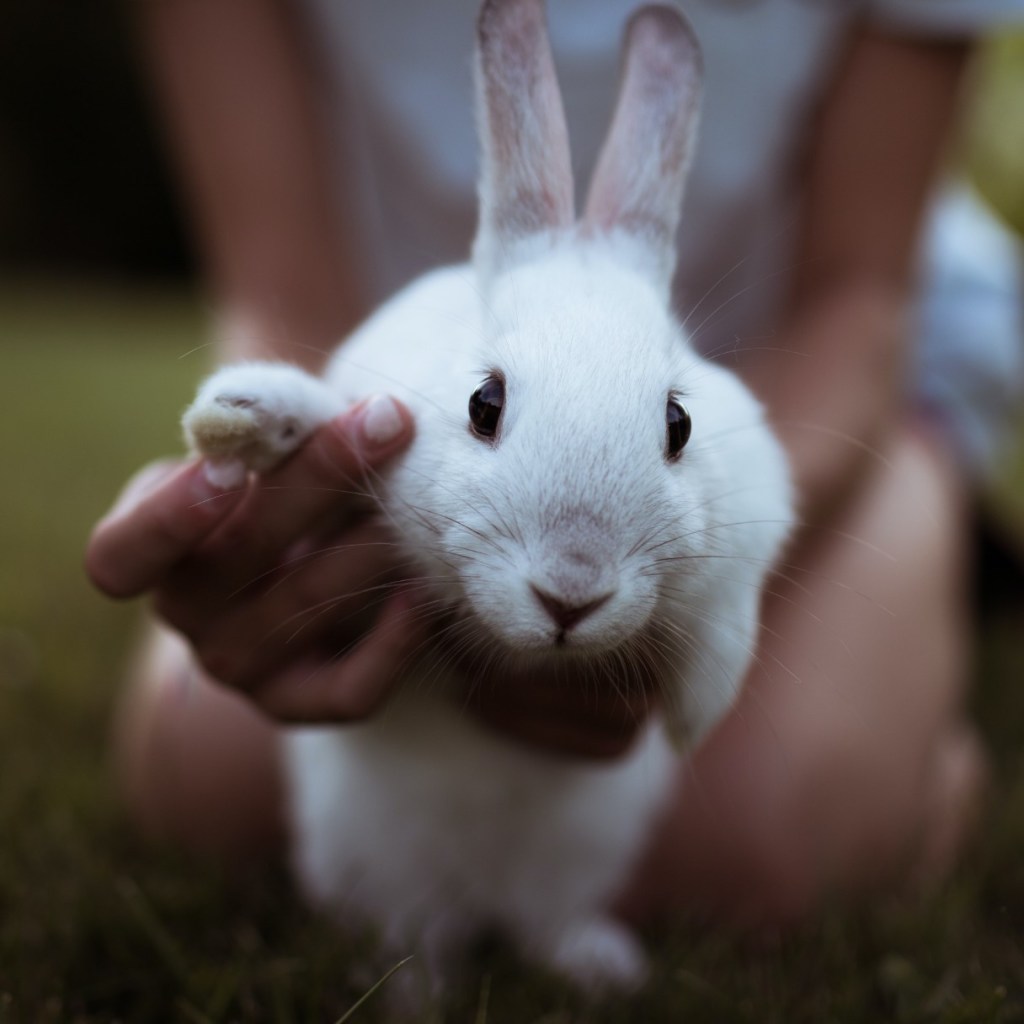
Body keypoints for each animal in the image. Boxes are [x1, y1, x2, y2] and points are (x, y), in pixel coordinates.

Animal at [182, 0, 790, 999]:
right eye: (483, 404)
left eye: (678, 423)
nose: (570, 593)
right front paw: (242, 419)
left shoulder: (752, 524)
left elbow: (726, 624)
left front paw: (695, 715)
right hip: (381, 862)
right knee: (414, 937)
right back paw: (419, 994)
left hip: (580, 853)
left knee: (541, 922)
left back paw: (600, 967)